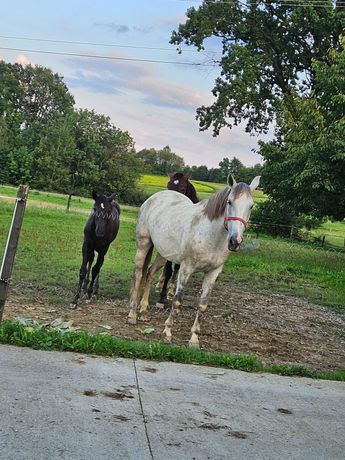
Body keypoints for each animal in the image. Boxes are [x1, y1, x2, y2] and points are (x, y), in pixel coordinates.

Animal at [155, 172, 198, 306]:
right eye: (168, 186)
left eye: (183, 189)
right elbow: (168, 270)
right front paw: (161, 297)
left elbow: (177, 270)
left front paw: (169, 293)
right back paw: (159, 285)